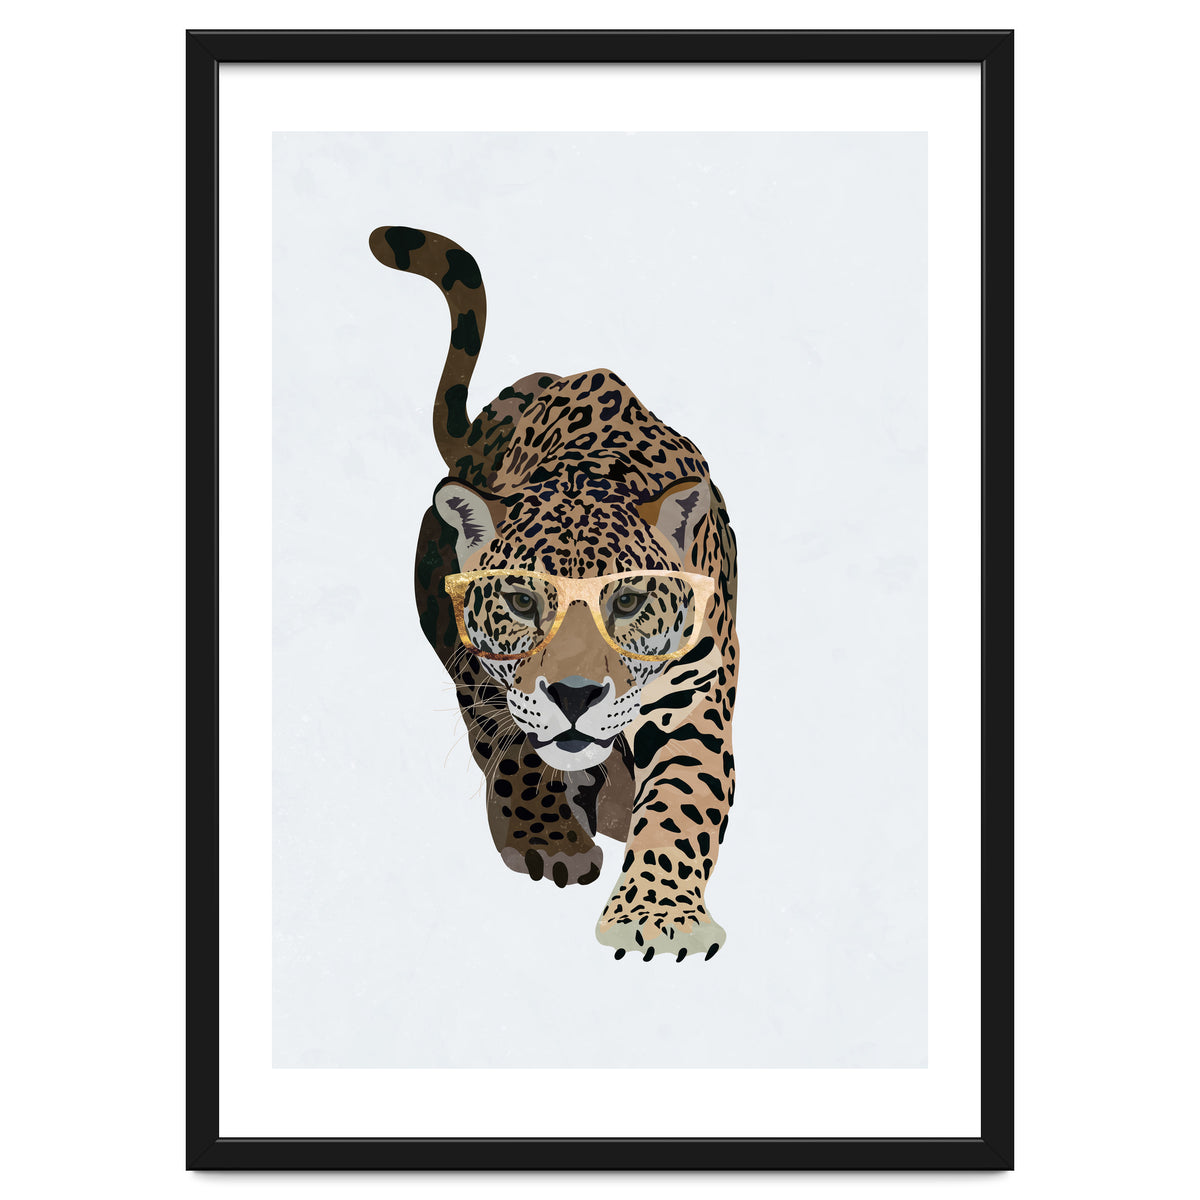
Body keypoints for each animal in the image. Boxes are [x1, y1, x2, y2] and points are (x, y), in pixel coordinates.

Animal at [370, 226, 739, 962]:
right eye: (520, 602)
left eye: (626, 602)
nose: (574, 696)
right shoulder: (486, 674)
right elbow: (516, 747)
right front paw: (549, 839)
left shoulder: (695, 691)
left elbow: (682, 799)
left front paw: (657, 916)